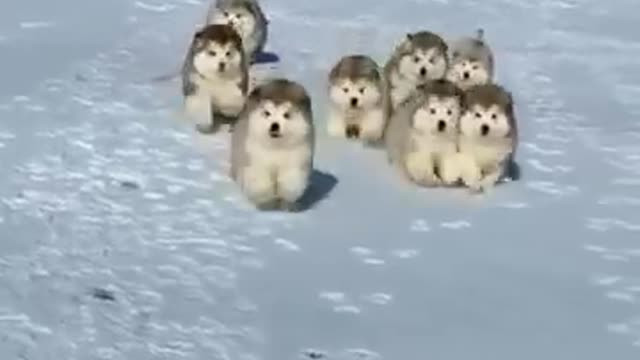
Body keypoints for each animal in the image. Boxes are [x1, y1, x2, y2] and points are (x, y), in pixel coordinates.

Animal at [230, 77, 316, 210]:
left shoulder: (297, 159)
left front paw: (285, 204)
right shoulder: (255, 158)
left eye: (286, 115)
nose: (274, 126)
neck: (276, 147)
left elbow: (290, 183)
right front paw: (267, 205)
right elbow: (260, 182)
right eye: (267, 113)